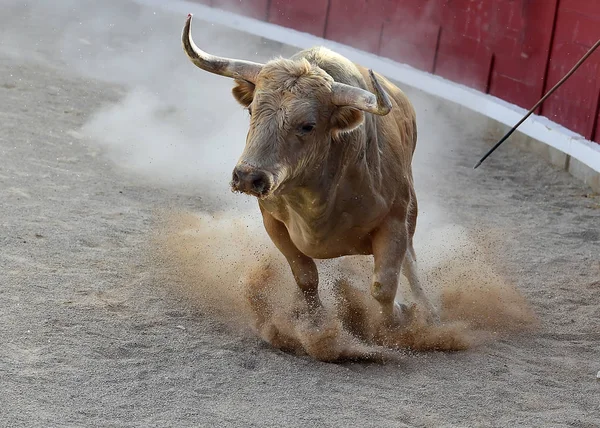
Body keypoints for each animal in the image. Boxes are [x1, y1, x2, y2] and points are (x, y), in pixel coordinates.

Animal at [180, 13, 438, 328]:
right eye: (252, 110)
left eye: (308, 125)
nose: (248, 177)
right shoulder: (272, 220)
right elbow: (305, 276)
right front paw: (314, 324)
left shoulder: (395, 223)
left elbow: (384, 287)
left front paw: (395, 322)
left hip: (410, 215)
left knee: (410, 263)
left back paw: (428, 310)